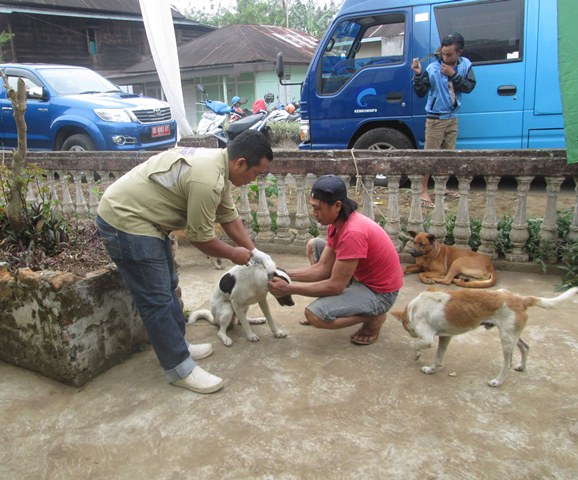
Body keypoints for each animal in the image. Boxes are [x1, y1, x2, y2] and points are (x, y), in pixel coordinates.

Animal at [390, 284, 572, 386]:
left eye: (406, 328)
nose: (411, 334)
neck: (413, 308)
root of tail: (520, 299)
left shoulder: (428, 339)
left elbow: (417, 345)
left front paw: (416, 355)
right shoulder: (445, 337)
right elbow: (439, 357)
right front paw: (432, 369)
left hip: (506, 339)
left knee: (507, 363)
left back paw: (497, 381)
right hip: (512, 334)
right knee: (525, 347)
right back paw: (521, 366)